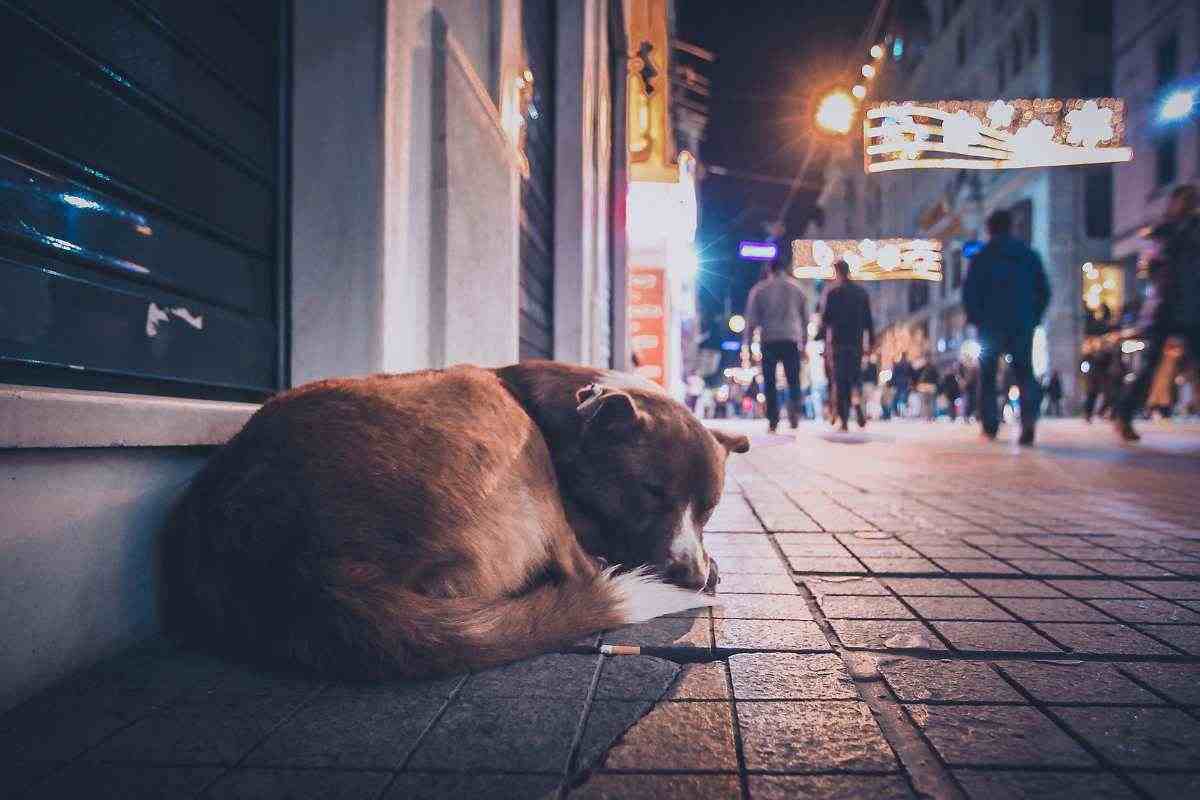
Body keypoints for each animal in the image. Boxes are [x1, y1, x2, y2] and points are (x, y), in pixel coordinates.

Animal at [164, 359, 744, 681]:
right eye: (651, 492)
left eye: (710, 507)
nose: (692, 575)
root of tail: (308, 570)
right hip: (494, 409)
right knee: (579, 569)